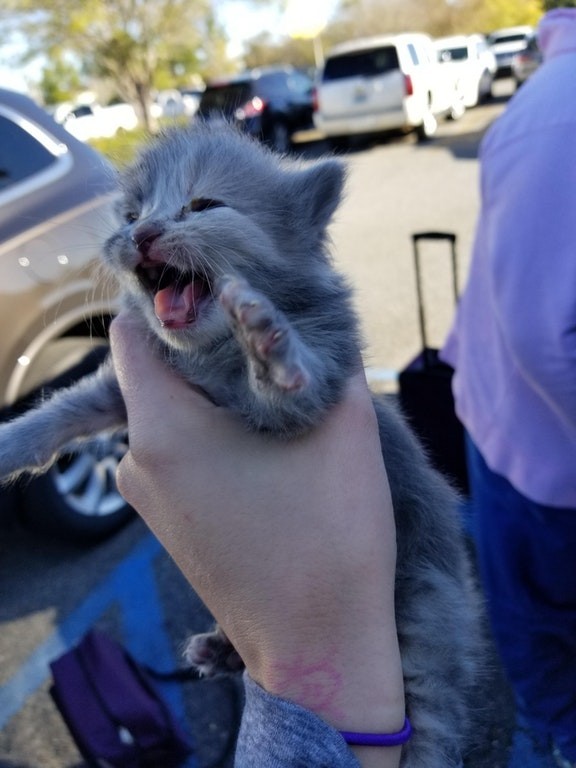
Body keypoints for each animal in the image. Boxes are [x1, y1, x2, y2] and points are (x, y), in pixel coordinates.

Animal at [0, 123, 484, 764]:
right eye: (131, 215)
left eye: (204, 205)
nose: (143, 235)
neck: (207, 356)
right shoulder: (118, 389)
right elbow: (64, 410)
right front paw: (8, 442)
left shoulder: (317, 382)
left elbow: (288, 388)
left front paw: (268, 346)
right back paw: (222, 650)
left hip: (425, 606)